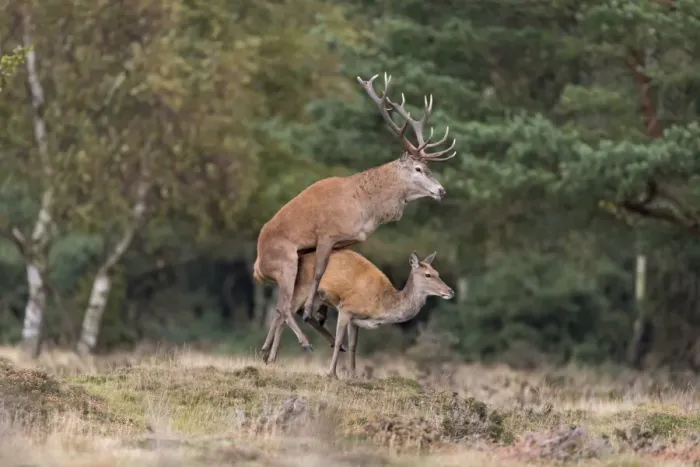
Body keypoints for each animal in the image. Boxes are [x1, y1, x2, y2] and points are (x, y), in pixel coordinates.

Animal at [253, 72, 457, 354]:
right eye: (418, 169)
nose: (441, 190)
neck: (365, 209)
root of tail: (257, 267)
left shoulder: (348, 240)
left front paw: (321, 313)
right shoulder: (327, 232)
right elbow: (319, 271)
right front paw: (311, 312)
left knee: (281, 308)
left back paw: (268, 350)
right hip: (284, 261)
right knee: (282, 305)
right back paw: (304, 341)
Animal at [260, 249, 454, 378]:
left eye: (437, 272)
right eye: (428, 275)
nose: (450, 291)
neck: (382, 306)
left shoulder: (356, 319)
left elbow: (354, 345)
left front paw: (353, 375)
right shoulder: (347, 308)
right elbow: (340, 340)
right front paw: (331, 373)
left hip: (312, 295)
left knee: (289, 312)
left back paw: (267, 354)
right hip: (302, 288)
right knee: (284, 312)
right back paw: (278, 355)